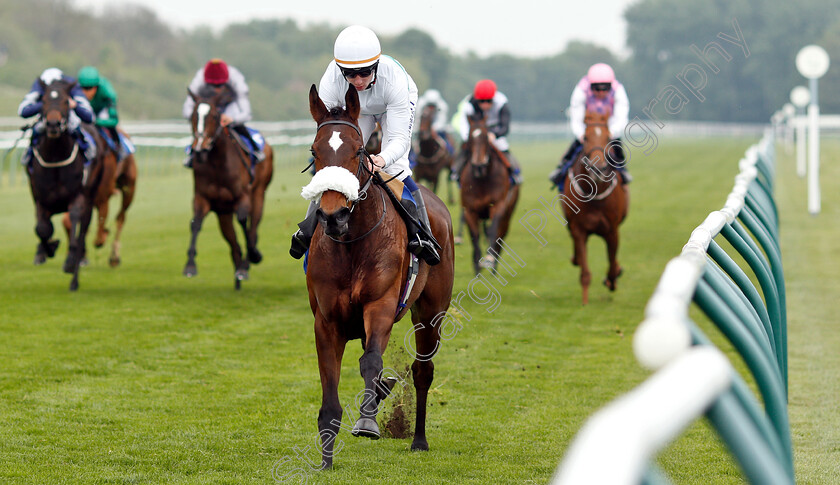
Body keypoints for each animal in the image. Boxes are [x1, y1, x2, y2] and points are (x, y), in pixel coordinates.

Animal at [26, 79, 106, 290]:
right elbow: (42, 229)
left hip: (91, 198)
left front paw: (69, 260)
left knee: (82, 232)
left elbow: (74, 226)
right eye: (44, 101)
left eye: (65, 102)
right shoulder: (40, 199)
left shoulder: (77, 197)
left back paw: (74, 280)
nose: (53, 124)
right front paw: (49, 248)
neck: (55, 157)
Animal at [184, 84, 276, 288]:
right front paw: (190, 265)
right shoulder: (202, 198)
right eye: (193, 115)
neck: (218, 164)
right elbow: (195, 224)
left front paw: (252, 257)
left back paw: (246, 263)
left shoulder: (243, 196)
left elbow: (243, 222)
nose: (199, 149)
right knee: (233, 241)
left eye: (214, 116)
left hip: (259, 194)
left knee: (253, 227)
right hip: (223, 212)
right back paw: (238, 271)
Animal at [306, 84, 456, 468]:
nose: (334, 215)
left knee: (422, 372)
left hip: (431, 312)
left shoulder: (381, 305)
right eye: (314, 150)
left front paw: (368, 422)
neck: (352, 243)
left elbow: (372, 361)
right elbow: (330, 396)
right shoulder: (327, 321)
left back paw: (418, 439)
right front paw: (326, 461)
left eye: (358, 151)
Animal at [460, 111, 520, 274]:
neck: (482, 180)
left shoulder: (498, 205)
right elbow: (475, 235)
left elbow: (493, 231)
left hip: (508, 211)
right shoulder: (470, 210)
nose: (478, 166)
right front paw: (476, 266)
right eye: (469, 136)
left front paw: (489, 260)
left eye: (486, 137)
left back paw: (494, 265)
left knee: (501, 232)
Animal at [564, 110, 632, 302]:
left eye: (608, 137)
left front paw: (612, 279)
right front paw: (584, 302)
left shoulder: (612, 231)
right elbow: (585, 272)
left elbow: (612, 263)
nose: (598, 169)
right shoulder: (579, 230)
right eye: (586, 137)